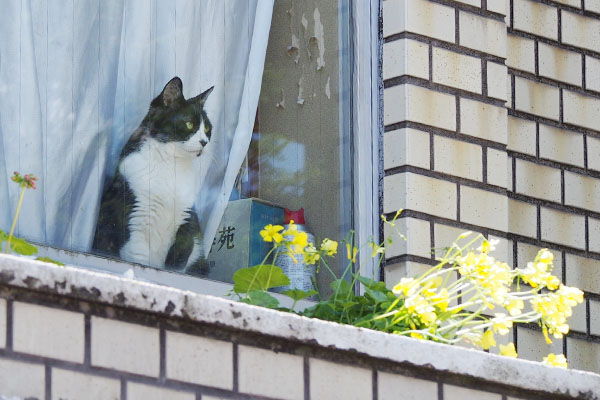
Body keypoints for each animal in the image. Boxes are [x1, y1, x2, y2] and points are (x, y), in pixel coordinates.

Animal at [92, 76, 214, 268]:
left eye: (208, 129)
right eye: (189, 124)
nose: (204, 142)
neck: (172, 164)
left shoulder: (187, 219)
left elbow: (181, 255)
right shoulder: (137, 214)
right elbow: (140, 260)